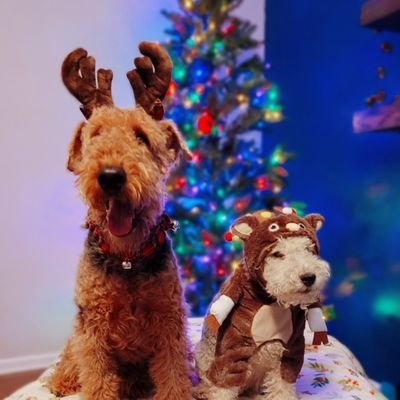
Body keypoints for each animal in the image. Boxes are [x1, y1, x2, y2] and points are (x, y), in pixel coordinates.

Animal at [46, 41, 193, 400]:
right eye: (96, 134)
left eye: (142, 137)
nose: (110, 176)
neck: (127, 257)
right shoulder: (93, 327)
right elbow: (97, 378)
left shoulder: (169, 322)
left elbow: (173, 376)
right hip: (77, 337)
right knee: (68, 360)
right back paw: (61, 382)